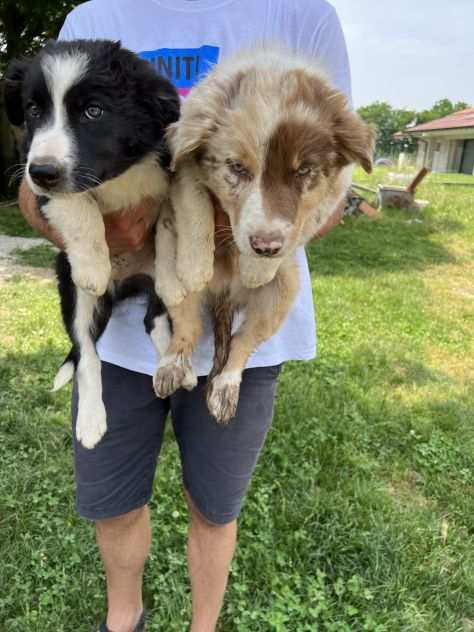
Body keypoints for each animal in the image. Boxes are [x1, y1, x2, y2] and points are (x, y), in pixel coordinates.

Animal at [5, 39, 187, 450]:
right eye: (34, 110)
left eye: (93, 111)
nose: (44, 172)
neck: (117, 173)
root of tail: (126, 286)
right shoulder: (38, 180)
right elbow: (79, 204)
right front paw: (92, 266)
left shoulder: (174, 171)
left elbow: (172, 222)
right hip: (70, 288)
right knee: (87, 353)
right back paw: (90, 422)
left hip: (154, 291)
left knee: (155, 321)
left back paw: (175, 367)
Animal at [154, 49, 376, 422]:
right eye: (237, 168)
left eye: (303, 171)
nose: (265, 247)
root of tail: (225, 294)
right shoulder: (182, 166)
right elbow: (193, 203)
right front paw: (197, 265)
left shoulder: (332, 192)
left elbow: (307, 217)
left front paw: (256, 268)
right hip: (167, 274)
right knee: (187, 326)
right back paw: (173, 366)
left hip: (282, 293)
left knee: (242, 343)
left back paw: (225, 388)